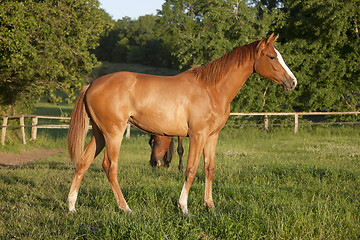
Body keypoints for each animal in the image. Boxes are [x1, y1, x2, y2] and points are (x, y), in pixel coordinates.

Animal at [67, 33, 298, 216]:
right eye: (272, 57)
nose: (292, 82)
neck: (211, 89)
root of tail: (91, 85)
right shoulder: (198, 135)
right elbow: (191, 169)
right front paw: (184, 207)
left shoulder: (212, 136)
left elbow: (209, 169)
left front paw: (210, 205)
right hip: (113, 134)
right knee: (110, 167)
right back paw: (125, 208)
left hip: (99, 135)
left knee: (83, 163)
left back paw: (72, 206)